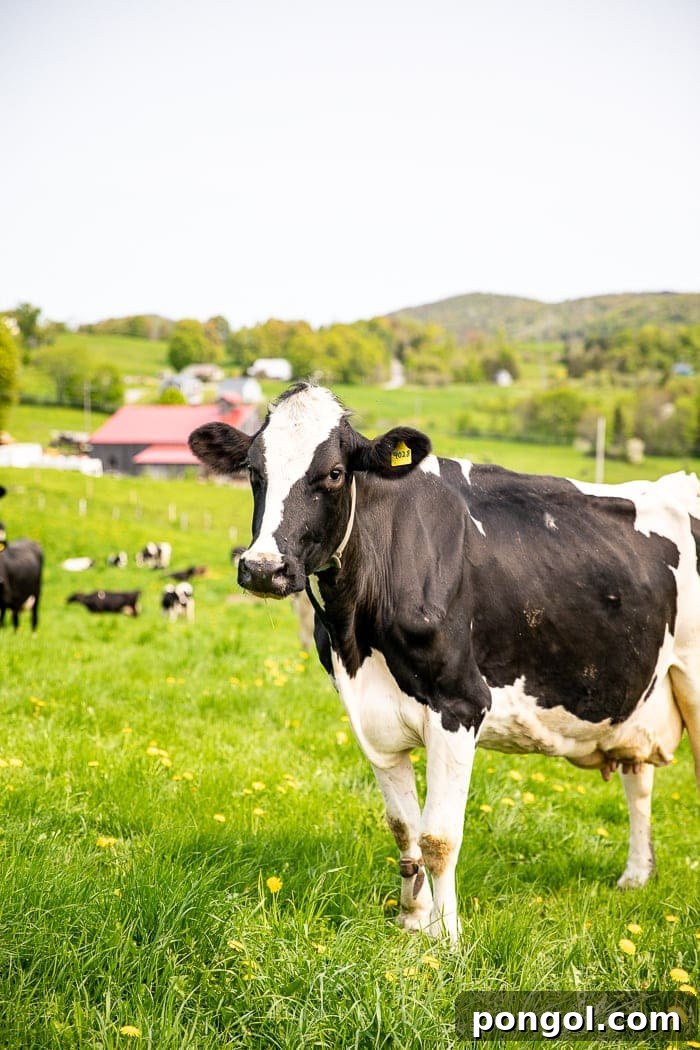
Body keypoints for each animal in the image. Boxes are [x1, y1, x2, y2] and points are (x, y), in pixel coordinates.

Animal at [189, 383, 700, 942]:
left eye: (335, 473)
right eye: (254, 471)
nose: (263, 568)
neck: (357, 635)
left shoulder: (460, 704)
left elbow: (438, 838)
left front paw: (447, 937)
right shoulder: (369, 713)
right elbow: (404, 830)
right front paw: (412, 922)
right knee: (639, 781)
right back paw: (635, 876)